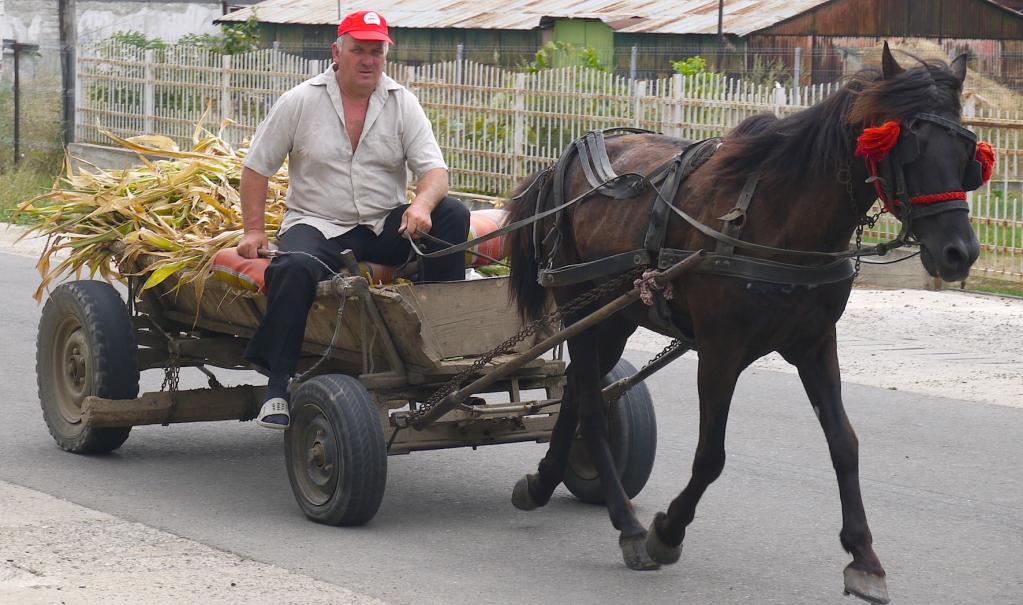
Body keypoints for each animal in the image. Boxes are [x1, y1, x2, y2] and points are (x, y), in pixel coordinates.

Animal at [507, 43, 986, 605]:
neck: (779, 218)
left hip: (616, 316)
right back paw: (628, 525)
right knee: (589, 404)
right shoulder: (721, 352)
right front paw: (667, 531)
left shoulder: (815, 344)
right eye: (911, 146)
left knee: (580, 392)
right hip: (578, 306)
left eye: (967, 153)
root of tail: (565, 159)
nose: (960, 253)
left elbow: (844, 444)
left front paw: (864, 557)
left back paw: (544, 482)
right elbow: (711, 455)